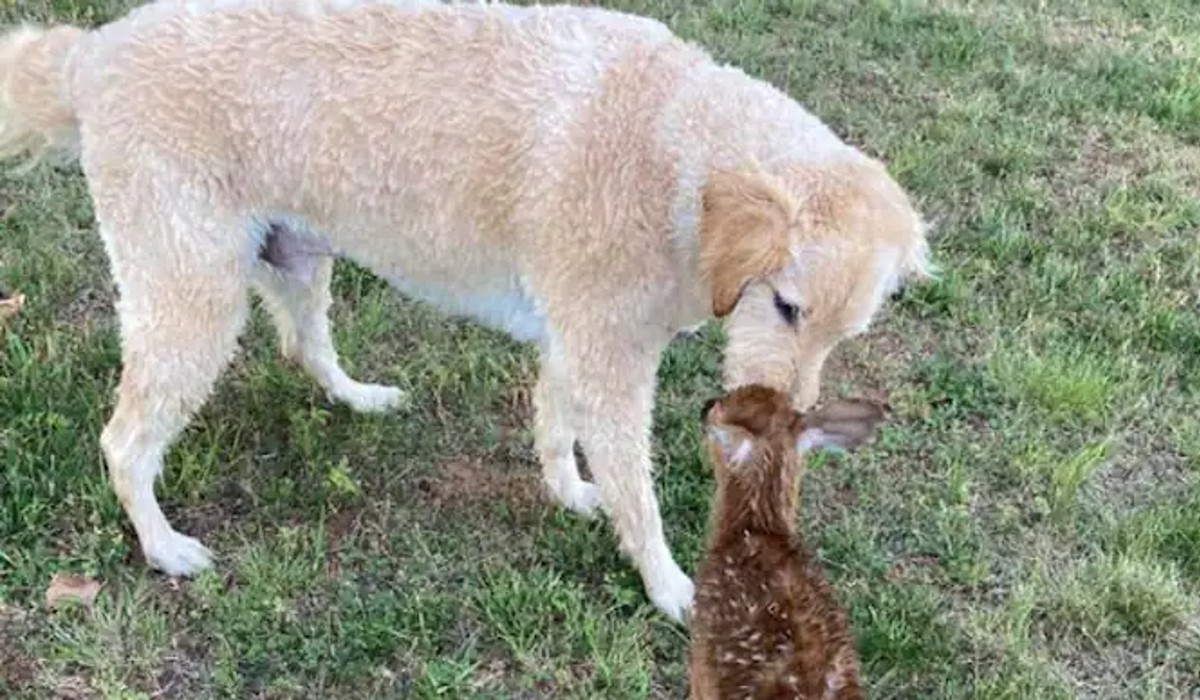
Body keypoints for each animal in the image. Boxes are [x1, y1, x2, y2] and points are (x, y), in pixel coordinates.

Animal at [0, 0, 926, 619]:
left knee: (304, 349)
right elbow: (640, 495)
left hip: (294, 256)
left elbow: (556, 426)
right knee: (124, 443)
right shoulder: (611, 361)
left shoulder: (576, 342)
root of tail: (95, 52)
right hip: (192, 301)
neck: (679, 153)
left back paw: (359, 396)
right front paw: (670, 587)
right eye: (786, 306)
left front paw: (570, 492)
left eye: (843, 333)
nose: (790, 424)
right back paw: (163, 546)